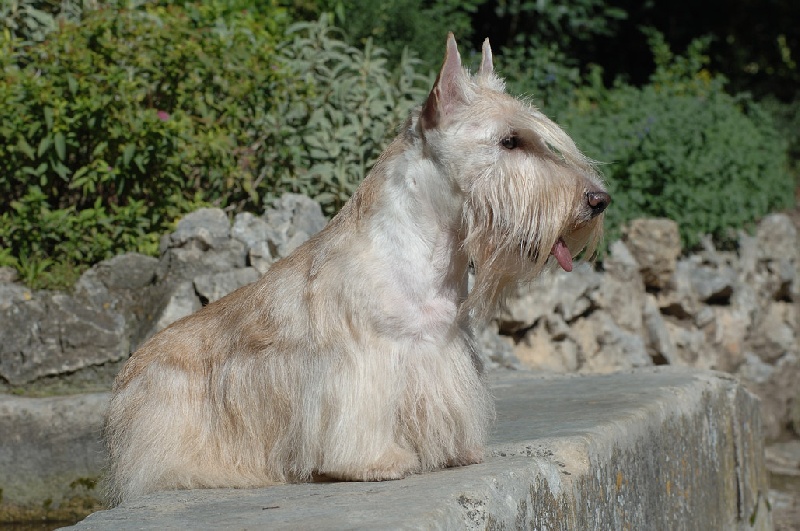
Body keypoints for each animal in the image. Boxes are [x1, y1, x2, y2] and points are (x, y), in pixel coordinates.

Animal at [103, 33, 608, 508]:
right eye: (509, 141)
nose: (598, 200)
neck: (426, 255)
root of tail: (124, 383)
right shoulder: (362, 360)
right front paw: (377, 463)